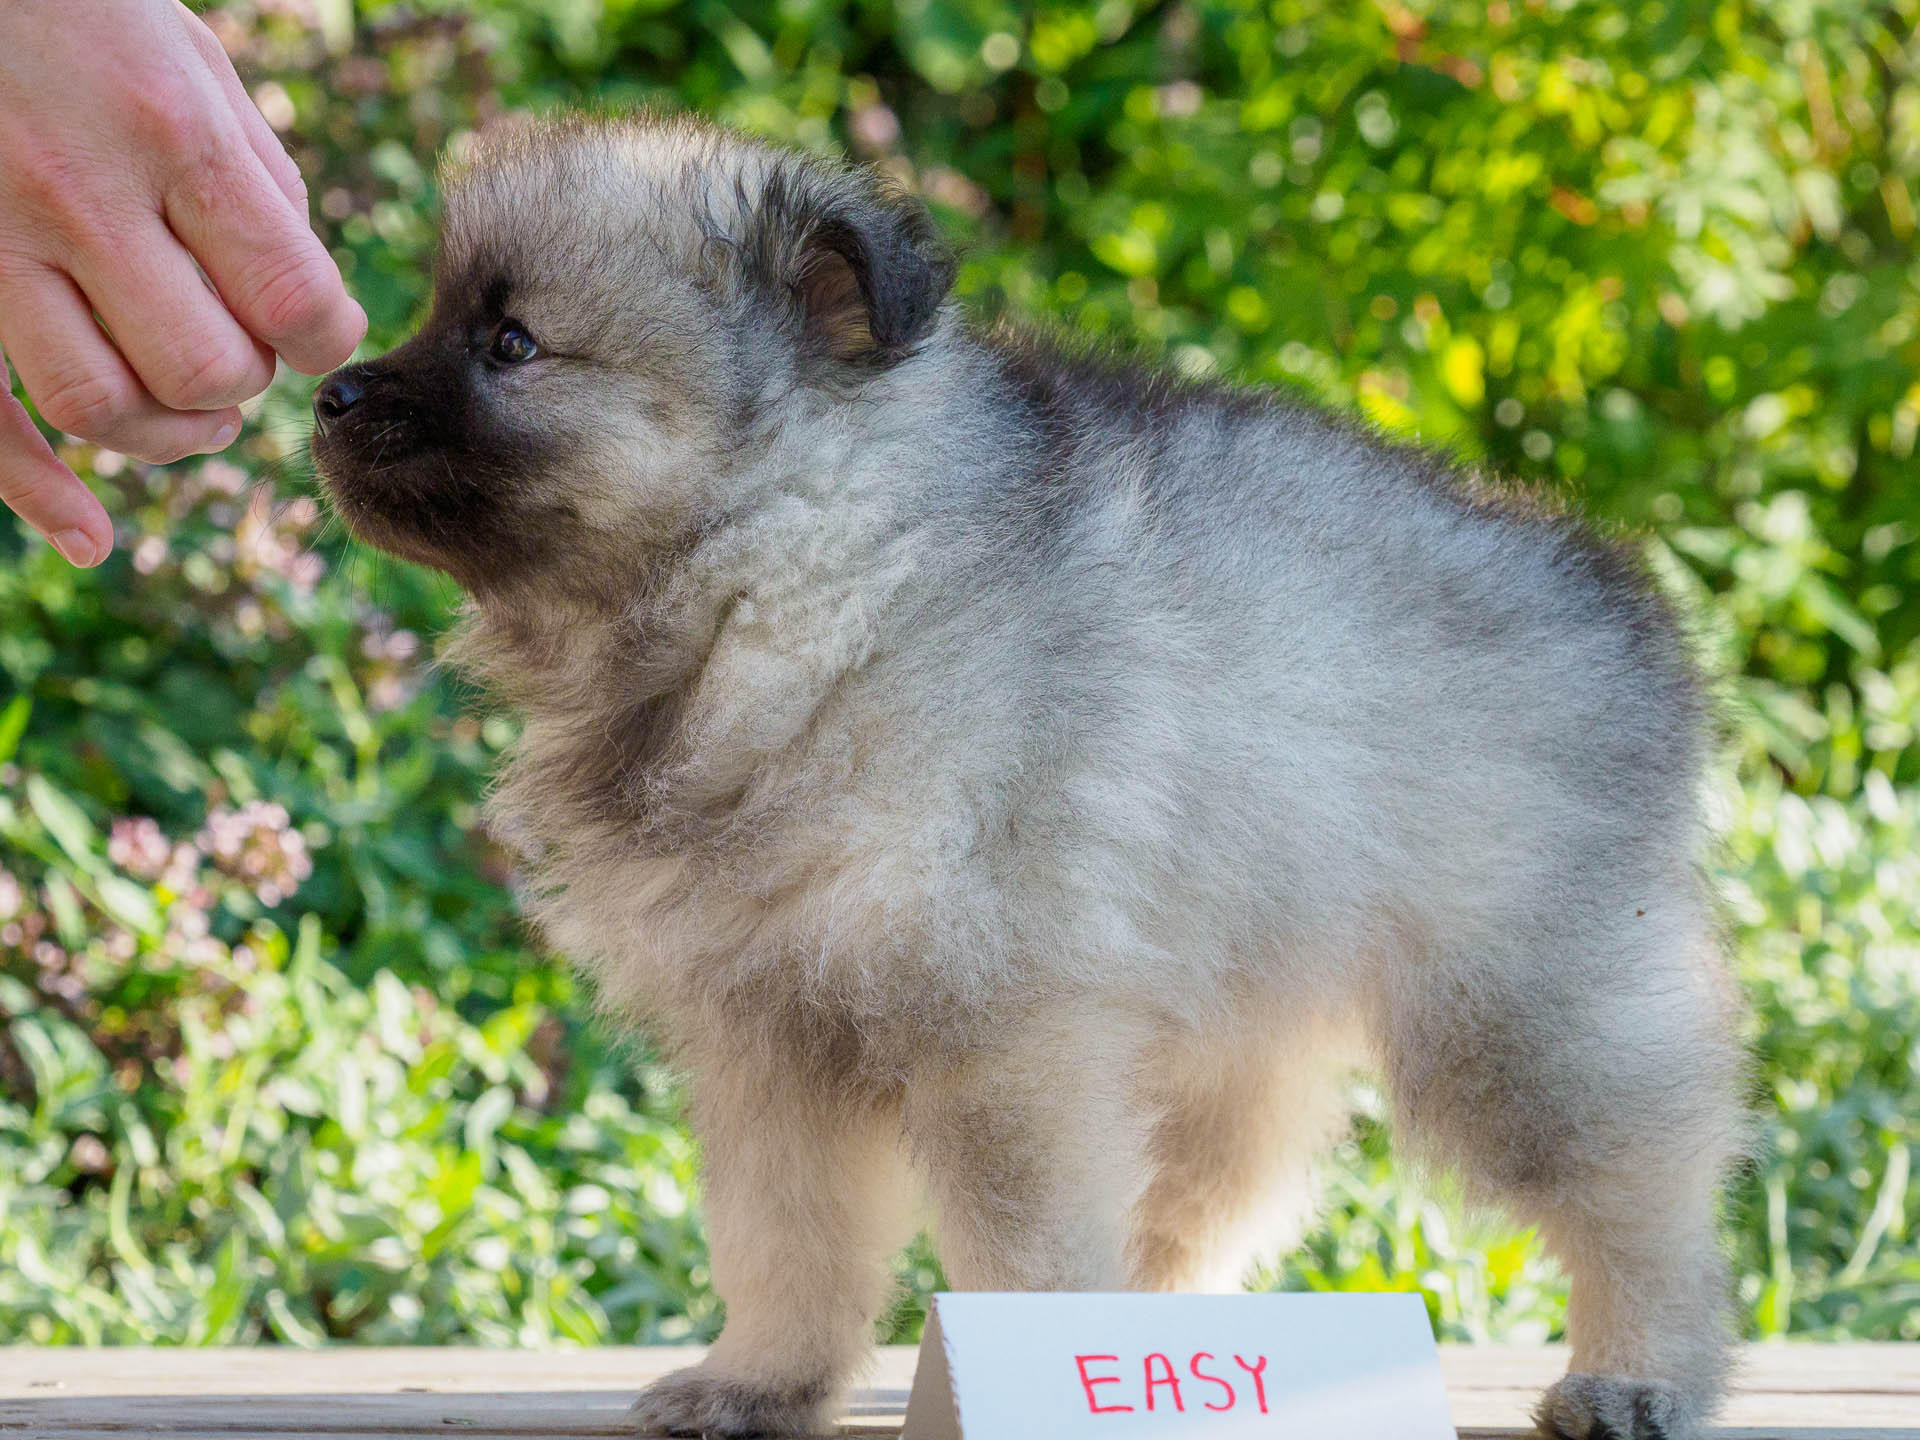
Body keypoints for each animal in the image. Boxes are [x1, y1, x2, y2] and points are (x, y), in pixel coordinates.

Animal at [314, 112, 1758, 1440]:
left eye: (512, 343)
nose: (330, 393)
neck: (800, 573)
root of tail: (1632, 615)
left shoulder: (1004, 1036)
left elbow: (1018, 1248)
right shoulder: (773, 1040)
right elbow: (787, 1242)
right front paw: (760, 1382)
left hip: (1518, 1009)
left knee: (1644, 1186)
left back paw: (1642, 1371)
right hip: (1241, 1025)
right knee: (1208, 1208)